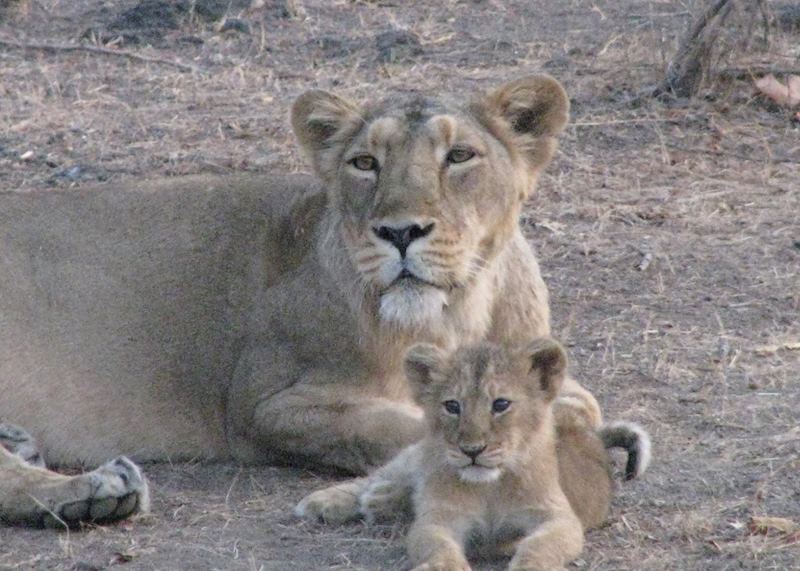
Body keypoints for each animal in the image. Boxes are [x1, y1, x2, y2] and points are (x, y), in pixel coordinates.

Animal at [0, 75, 602, 527]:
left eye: (459, 156)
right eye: (365, 163)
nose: (400, 232)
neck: (454, 317)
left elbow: (574, 404)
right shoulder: (263, 406)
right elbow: (398, 427)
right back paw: (97, 489)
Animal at [296, 339, 651, 571]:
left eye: (501, 404)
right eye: (452, 406)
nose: (472, 451)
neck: (489, 487)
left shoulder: (559, 517)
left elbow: (539, 546)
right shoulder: (439, 518)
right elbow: (439, 546)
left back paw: (382, 501)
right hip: (419, 453)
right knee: (381, 474)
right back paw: (334, 501)